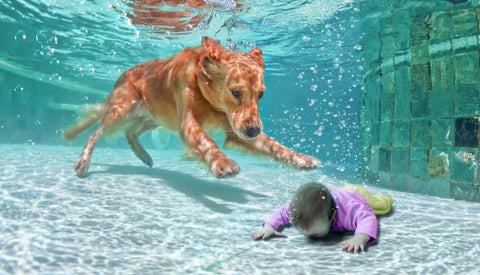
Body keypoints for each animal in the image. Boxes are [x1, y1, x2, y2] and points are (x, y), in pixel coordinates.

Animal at [62, 37, 320, 179]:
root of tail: (120, 77)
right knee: (96, 133)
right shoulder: (187, 123)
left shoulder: (235, 129)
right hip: (122, 108)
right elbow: (206, 141)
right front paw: (223, 164)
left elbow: (275, 147)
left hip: (154, 118)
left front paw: (302, 159)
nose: (254, 131)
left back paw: (144, 156)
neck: (208, 98)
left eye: (261, 94)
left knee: (131, 132)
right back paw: (83, 162)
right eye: (236, 92)